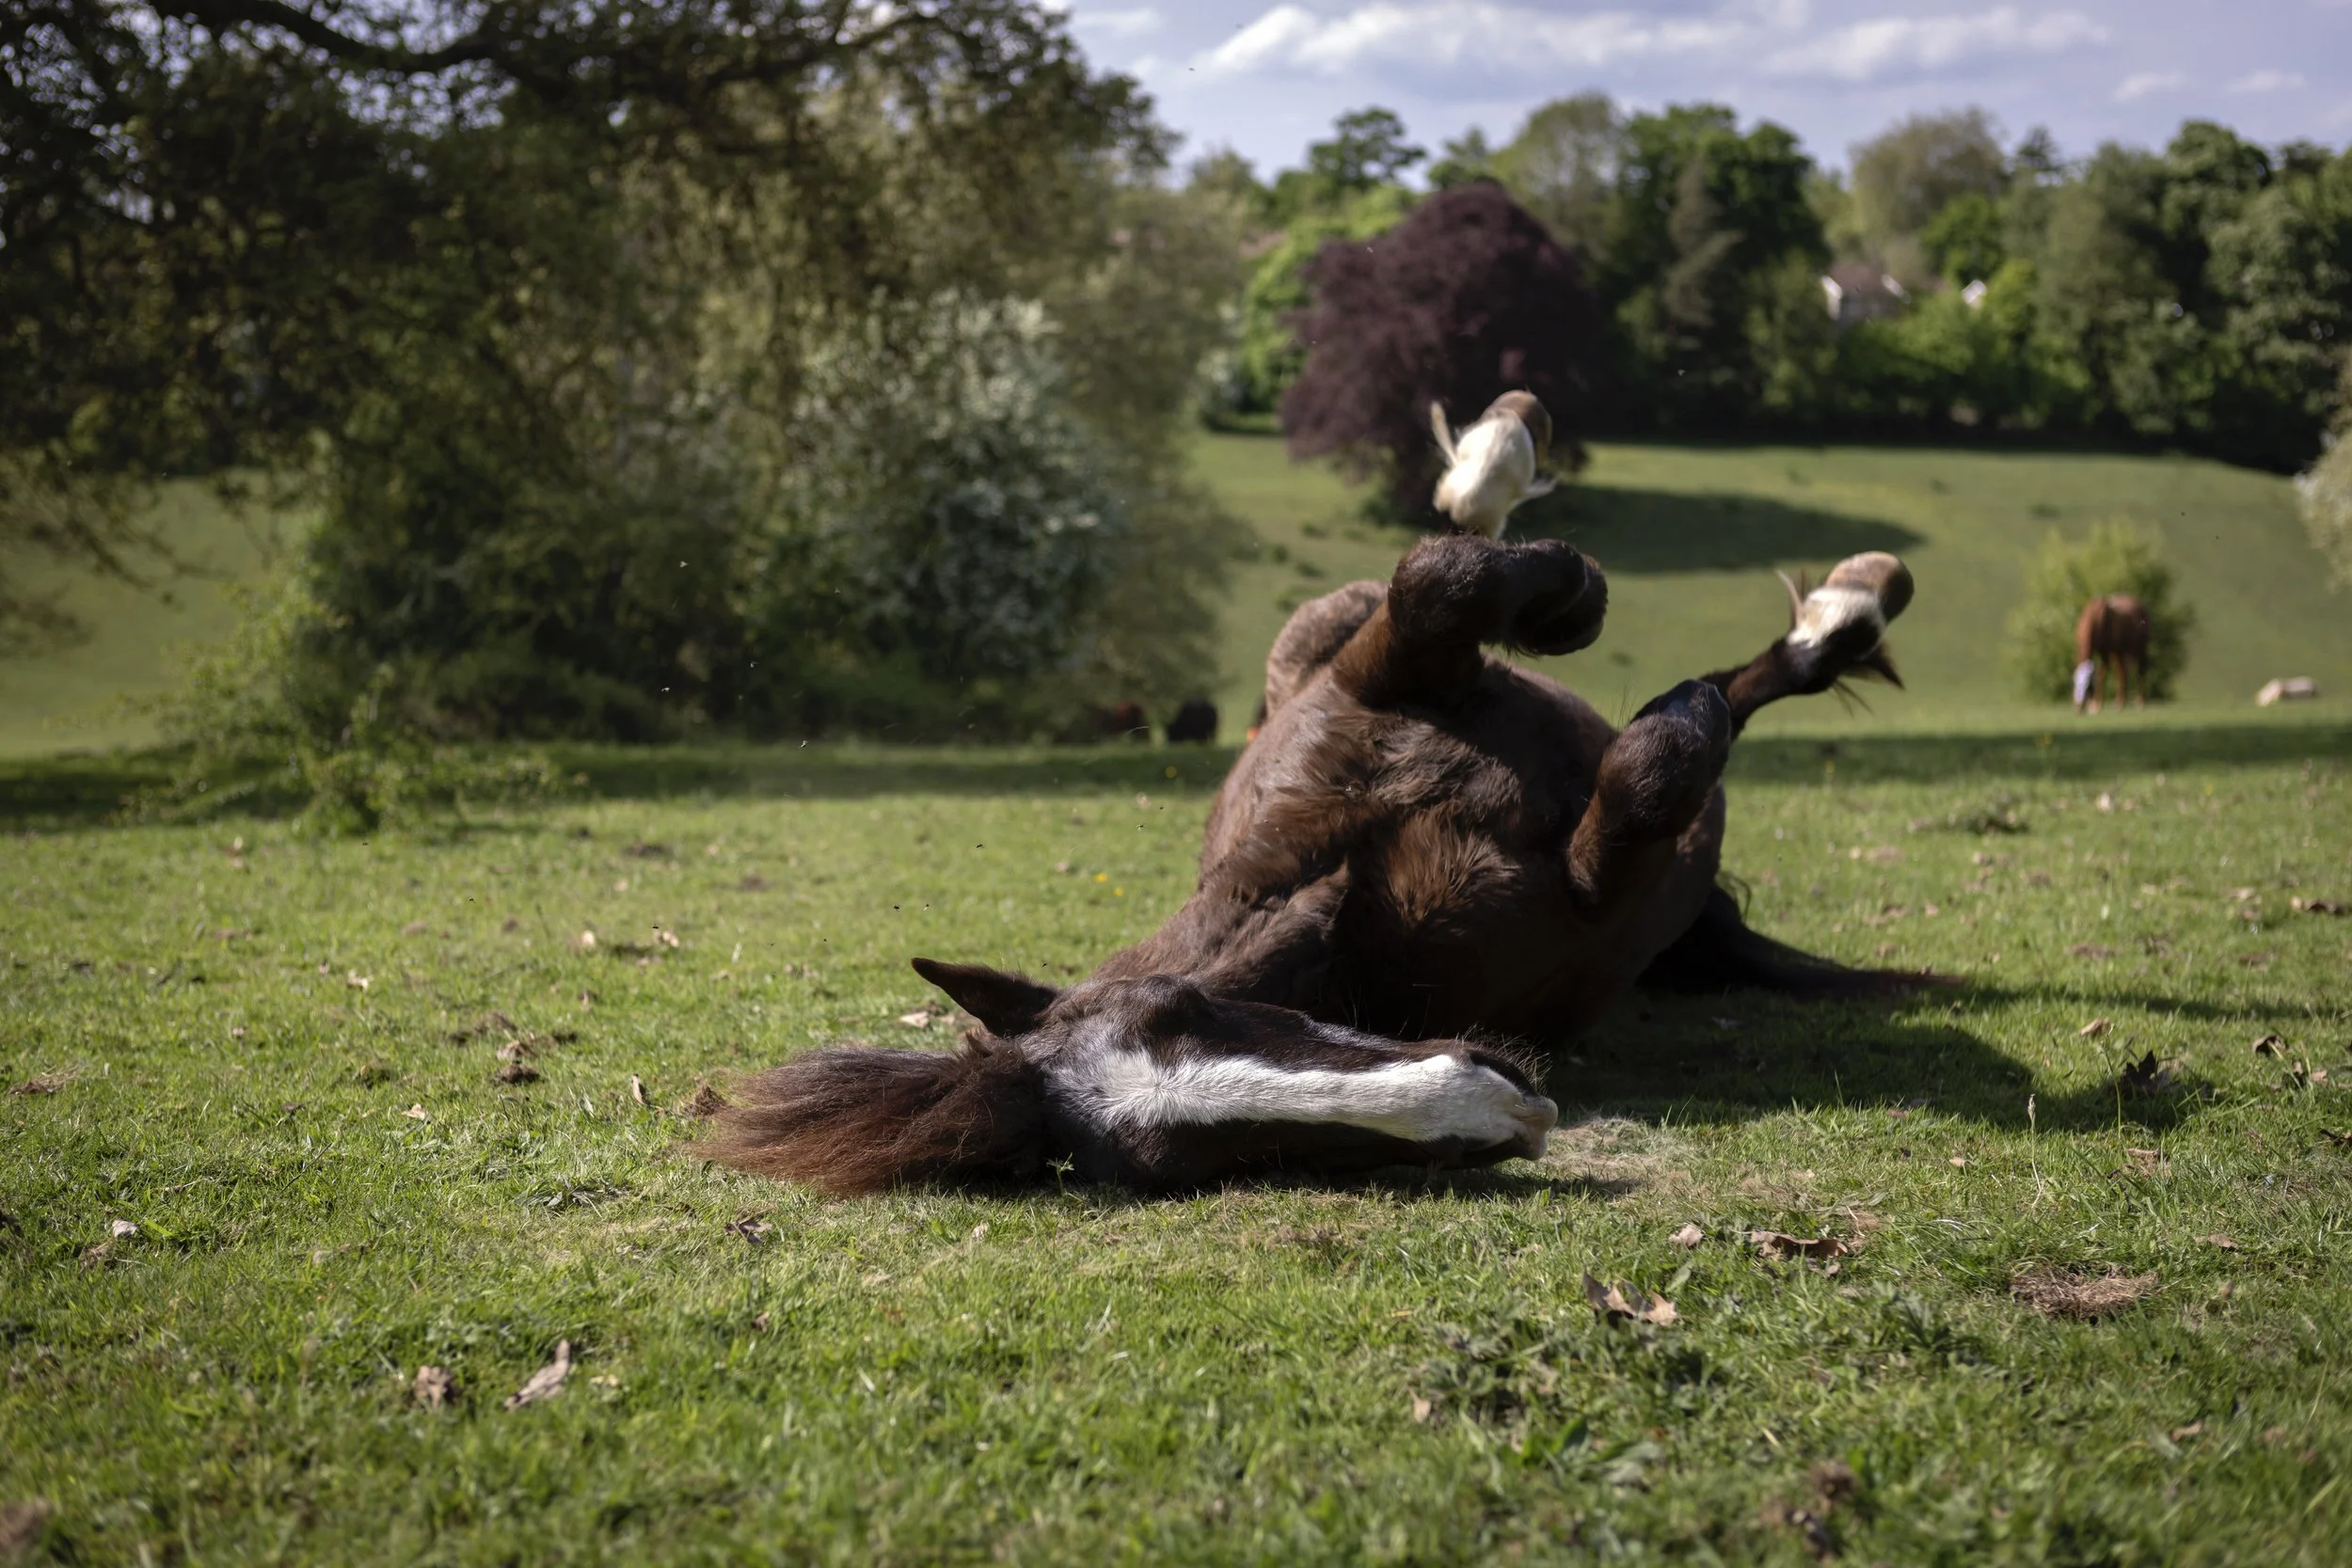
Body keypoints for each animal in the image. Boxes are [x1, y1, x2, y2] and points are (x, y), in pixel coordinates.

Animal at [702, 527, 1926, 1192]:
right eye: (1196, 1163)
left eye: (1180, 1005)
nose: (1484, 1101)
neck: (1361, 879)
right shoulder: (1590, 914)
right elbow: (1646, 786)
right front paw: (1668, 730)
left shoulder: (1377, 673)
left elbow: (1439, 580)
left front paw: (1569, 593)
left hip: (1315, 637)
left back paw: (1839, 611)